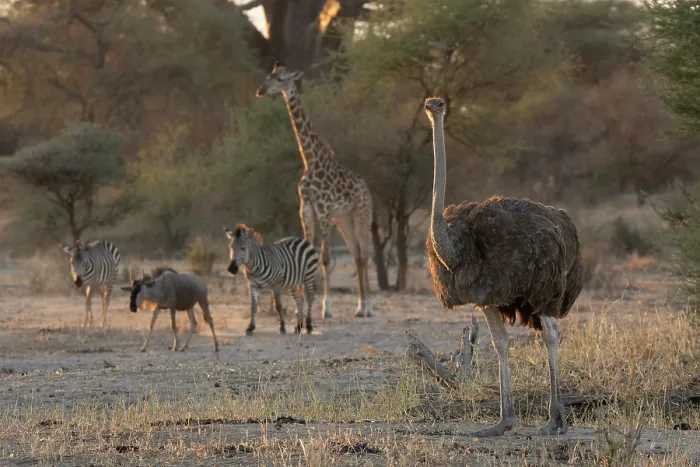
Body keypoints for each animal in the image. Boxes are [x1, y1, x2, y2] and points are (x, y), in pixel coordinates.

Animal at [256, 63, 373, 319]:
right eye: (269, 75)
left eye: (280, 79)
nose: (261, 90)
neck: (310, 161)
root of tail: (367, 189)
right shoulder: (306, 210)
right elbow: (303, 253)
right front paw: (300, 306)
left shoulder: (325, 212)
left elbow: (325, 259)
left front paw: (326, 308)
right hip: (344, 219)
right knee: (356, 254)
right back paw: (359, 307)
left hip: (361, 216)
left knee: (364, 254)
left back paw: (368, 307)